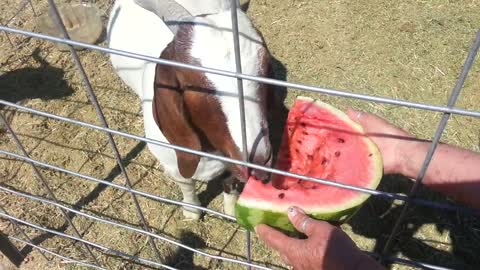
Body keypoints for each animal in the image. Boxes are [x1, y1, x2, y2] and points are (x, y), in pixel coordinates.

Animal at [107, 0, 272, 219]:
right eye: (194, 84)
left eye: (266, 67)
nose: (259, 160)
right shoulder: (174, 163)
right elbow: (187, 184)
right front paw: (192, 211)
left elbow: (230, 183)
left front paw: (230, 212)